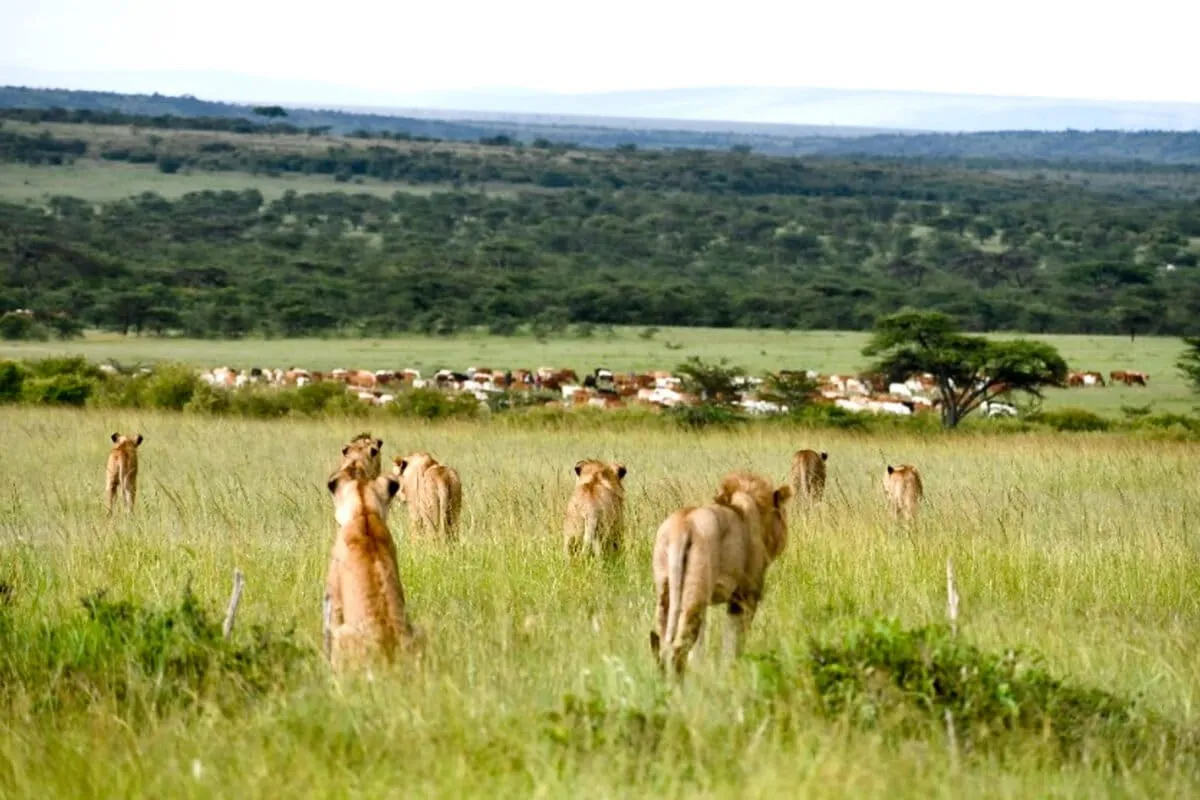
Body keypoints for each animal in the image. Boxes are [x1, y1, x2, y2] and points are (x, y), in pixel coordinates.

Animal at [649, 471, 793, 679]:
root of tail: (682, 526)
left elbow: (700, 648)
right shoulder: (745, 597)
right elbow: (734, 641)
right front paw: (732, 672)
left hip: (667, 590)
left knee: (662, 643)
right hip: (696, 594)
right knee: (678, 649)